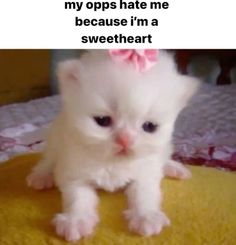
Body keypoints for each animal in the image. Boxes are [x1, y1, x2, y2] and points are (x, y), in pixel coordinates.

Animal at [26, 49, 200, 241]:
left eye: (149, 126)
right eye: (102, 120)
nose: (125, 139)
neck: (113, 161)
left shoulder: (145, 173)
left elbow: (144, 193)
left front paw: (146, 216)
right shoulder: (74, 172)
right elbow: (77, 198)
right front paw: (75, 220)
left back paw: (173, 167)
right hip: (56, 138)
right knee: (49, 159)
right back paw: (42, 175)